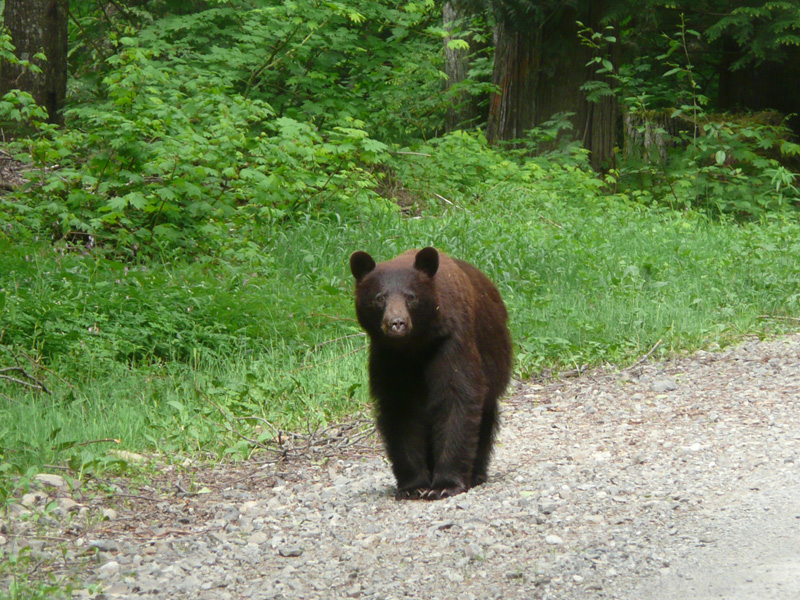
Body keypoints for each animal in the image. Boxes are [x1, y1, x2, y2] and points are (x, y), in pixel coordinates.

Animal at [350, 246, 512, 500]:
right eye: (379, 297)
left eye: (411, 296)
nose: (397, 323)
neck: (415, 346)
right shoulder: (388, 356)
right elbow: (401, 409)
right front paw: (413, 485)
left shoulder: (451, 341)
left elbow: (456, 396)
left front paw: (445, 484)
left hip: (494, 357)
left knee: (485, 417)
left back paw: (476, 473)